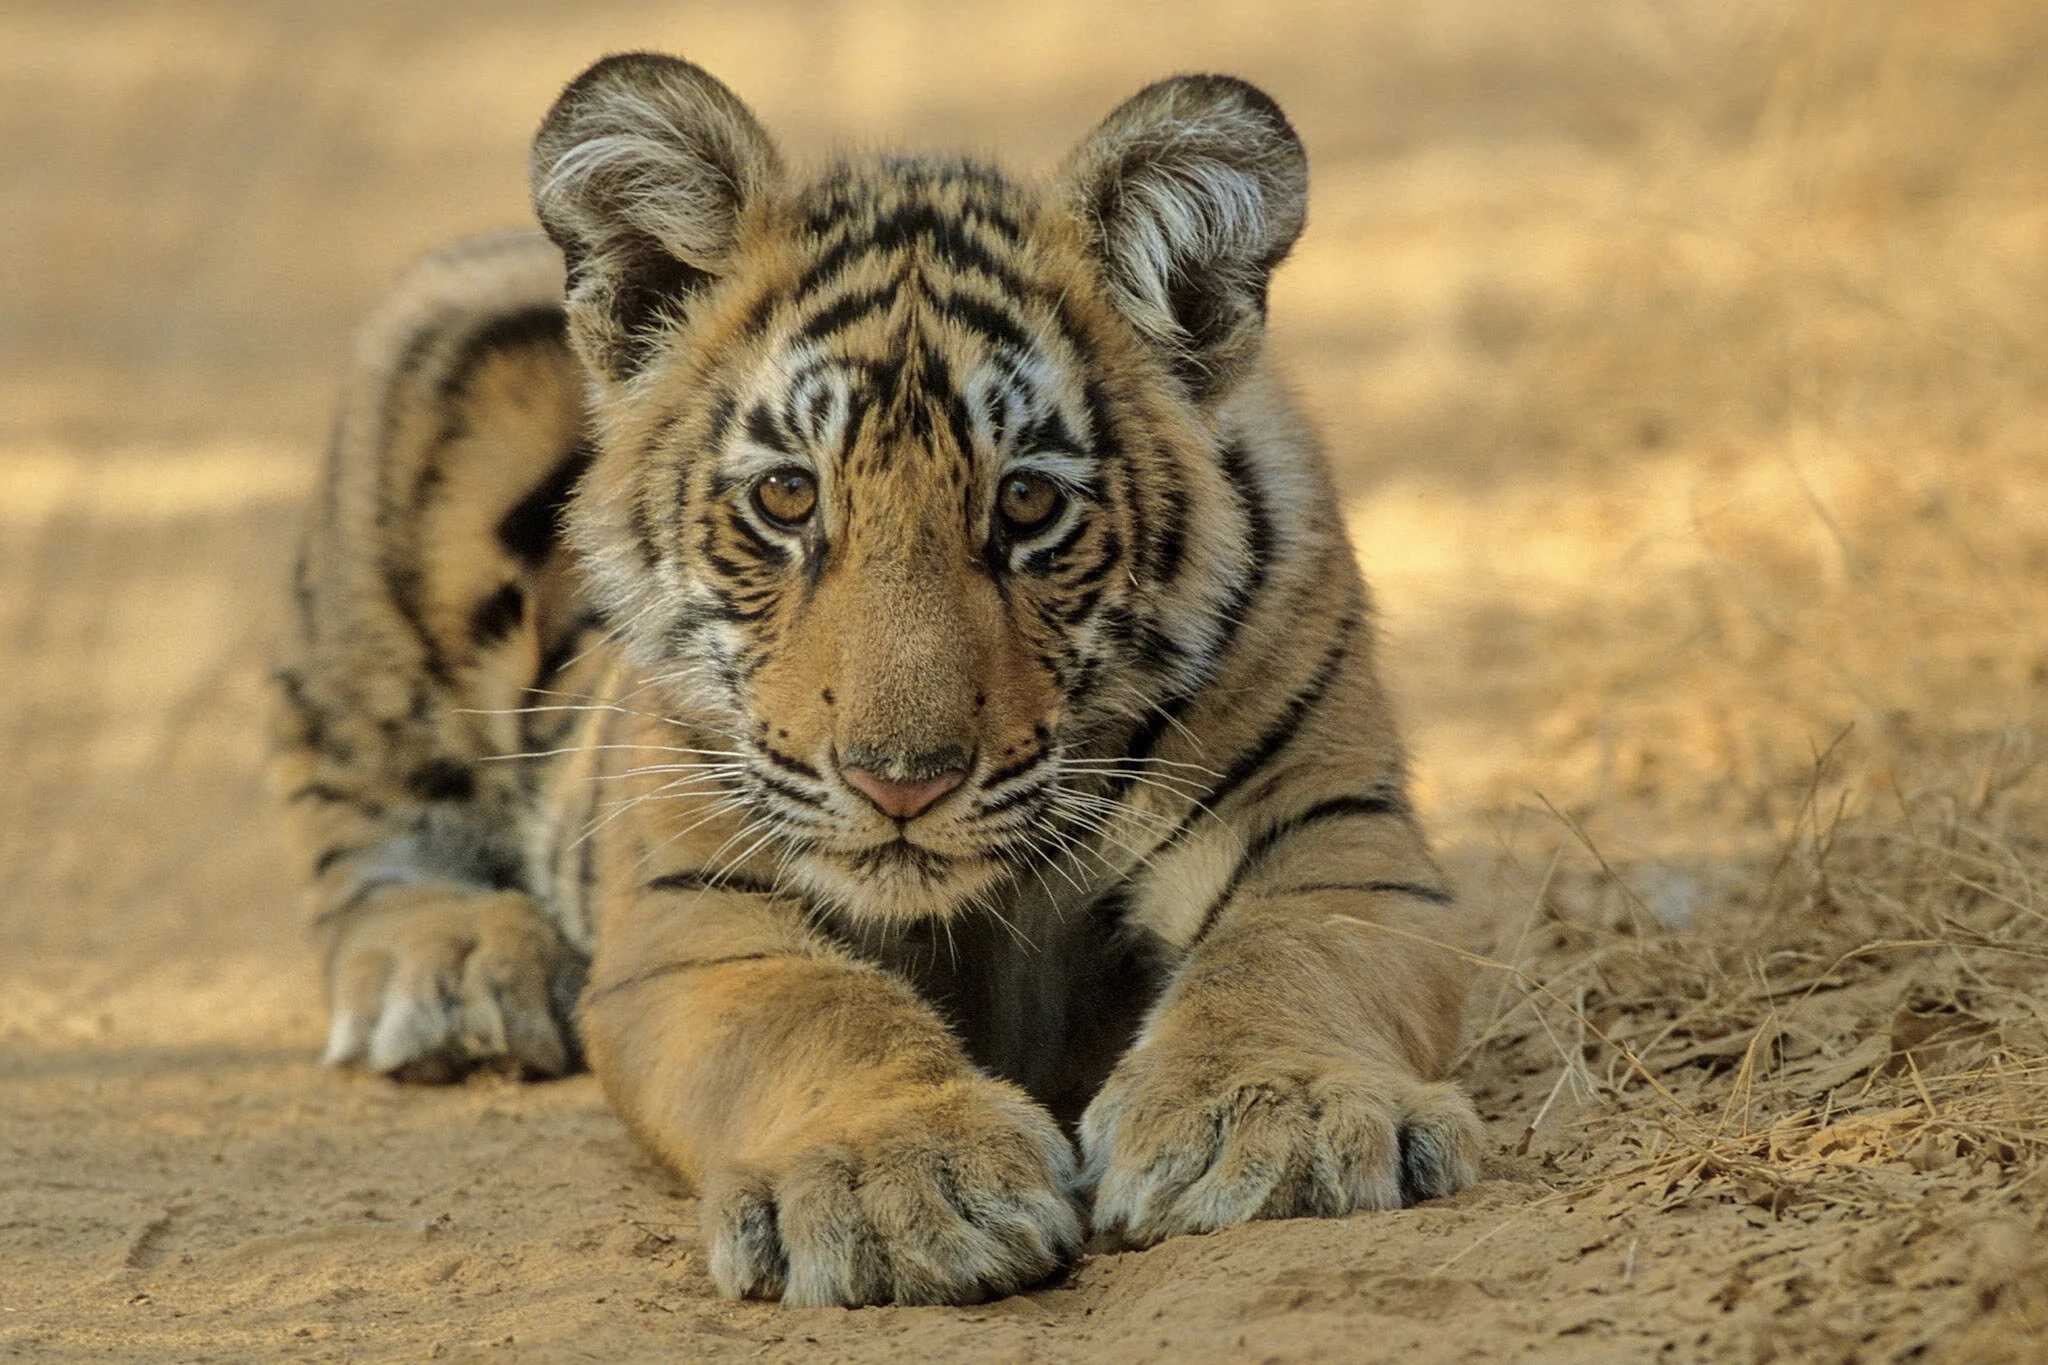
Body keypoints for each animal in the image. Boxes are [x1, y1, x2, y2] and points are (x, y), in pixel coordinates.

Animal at [274, 53, 1483, 1308]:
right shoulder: (702, 910)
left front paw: (1268, 1120)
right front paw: (899, 1185)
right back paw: (451, 974)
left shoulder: (1329, 834)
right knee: (363, 842)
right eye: (787, 498)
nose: (900, 781)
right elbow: (822, 1011)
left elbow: (1283, 959)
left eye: (1026, 503)